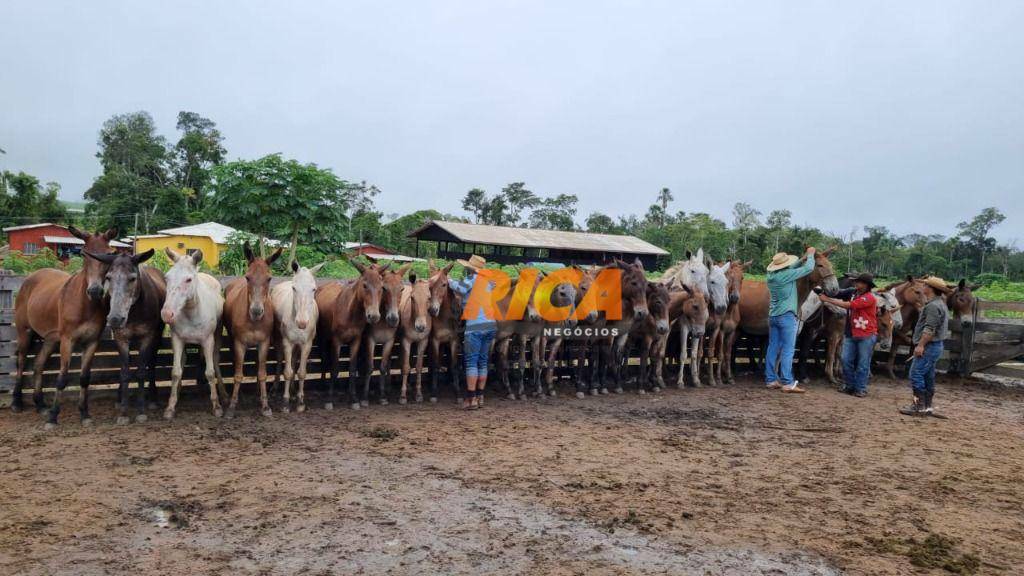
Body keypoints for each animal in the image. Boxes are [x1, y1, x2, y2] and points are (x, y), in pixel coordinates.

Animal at [13, 225, 118, 426]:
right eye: (84, 254)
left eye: (109, 254)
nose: (95, 291)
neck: (84, 305)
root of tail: (31, 277)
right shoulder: (67, 341)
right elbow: (62, 378)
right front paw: (54, 416)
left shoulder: (92, 342)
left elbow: (84, 378)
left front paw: (84, 413)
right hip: (25, 332)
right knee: (21, 362)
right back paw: (17, 402)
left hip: (50, 340)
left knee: (38, 364)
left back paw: (40, 404)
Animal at [81, 249, 165, 424]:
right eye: (108, 277)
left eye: (132, 278)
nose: (115, 318)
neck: (134, 310)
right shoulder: (121, 337)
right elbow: (125, 372)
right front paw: (124, 412)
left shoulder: (147, 337)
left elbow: (141, 372)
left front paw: (141, 410)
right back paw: (120, 399)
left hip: (157, 335)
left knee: (152, 363)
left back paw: (153, 399)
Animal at [224, 239, 284, 414]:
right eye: (248, 277)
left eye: (269, 278)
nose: (256, 311)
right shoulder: (239, 343)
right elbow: (238, 374)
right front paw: (232, 406)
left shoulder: (264, 343)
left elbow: (262, 373)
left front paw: (265, 405)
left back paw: (258, 394)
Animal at [315, 255, 385, 407]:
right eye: (364, 285)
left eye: (381, 287)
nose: (374, 316)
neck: (351, 312)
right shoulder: (336, 341)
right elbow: (334, 369)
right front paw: (329, 399)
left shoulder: (356, 340)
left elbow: (352, 369)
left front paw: (353, 398)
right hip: (323, 338)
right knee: (324, 360)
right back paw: (323, 386)